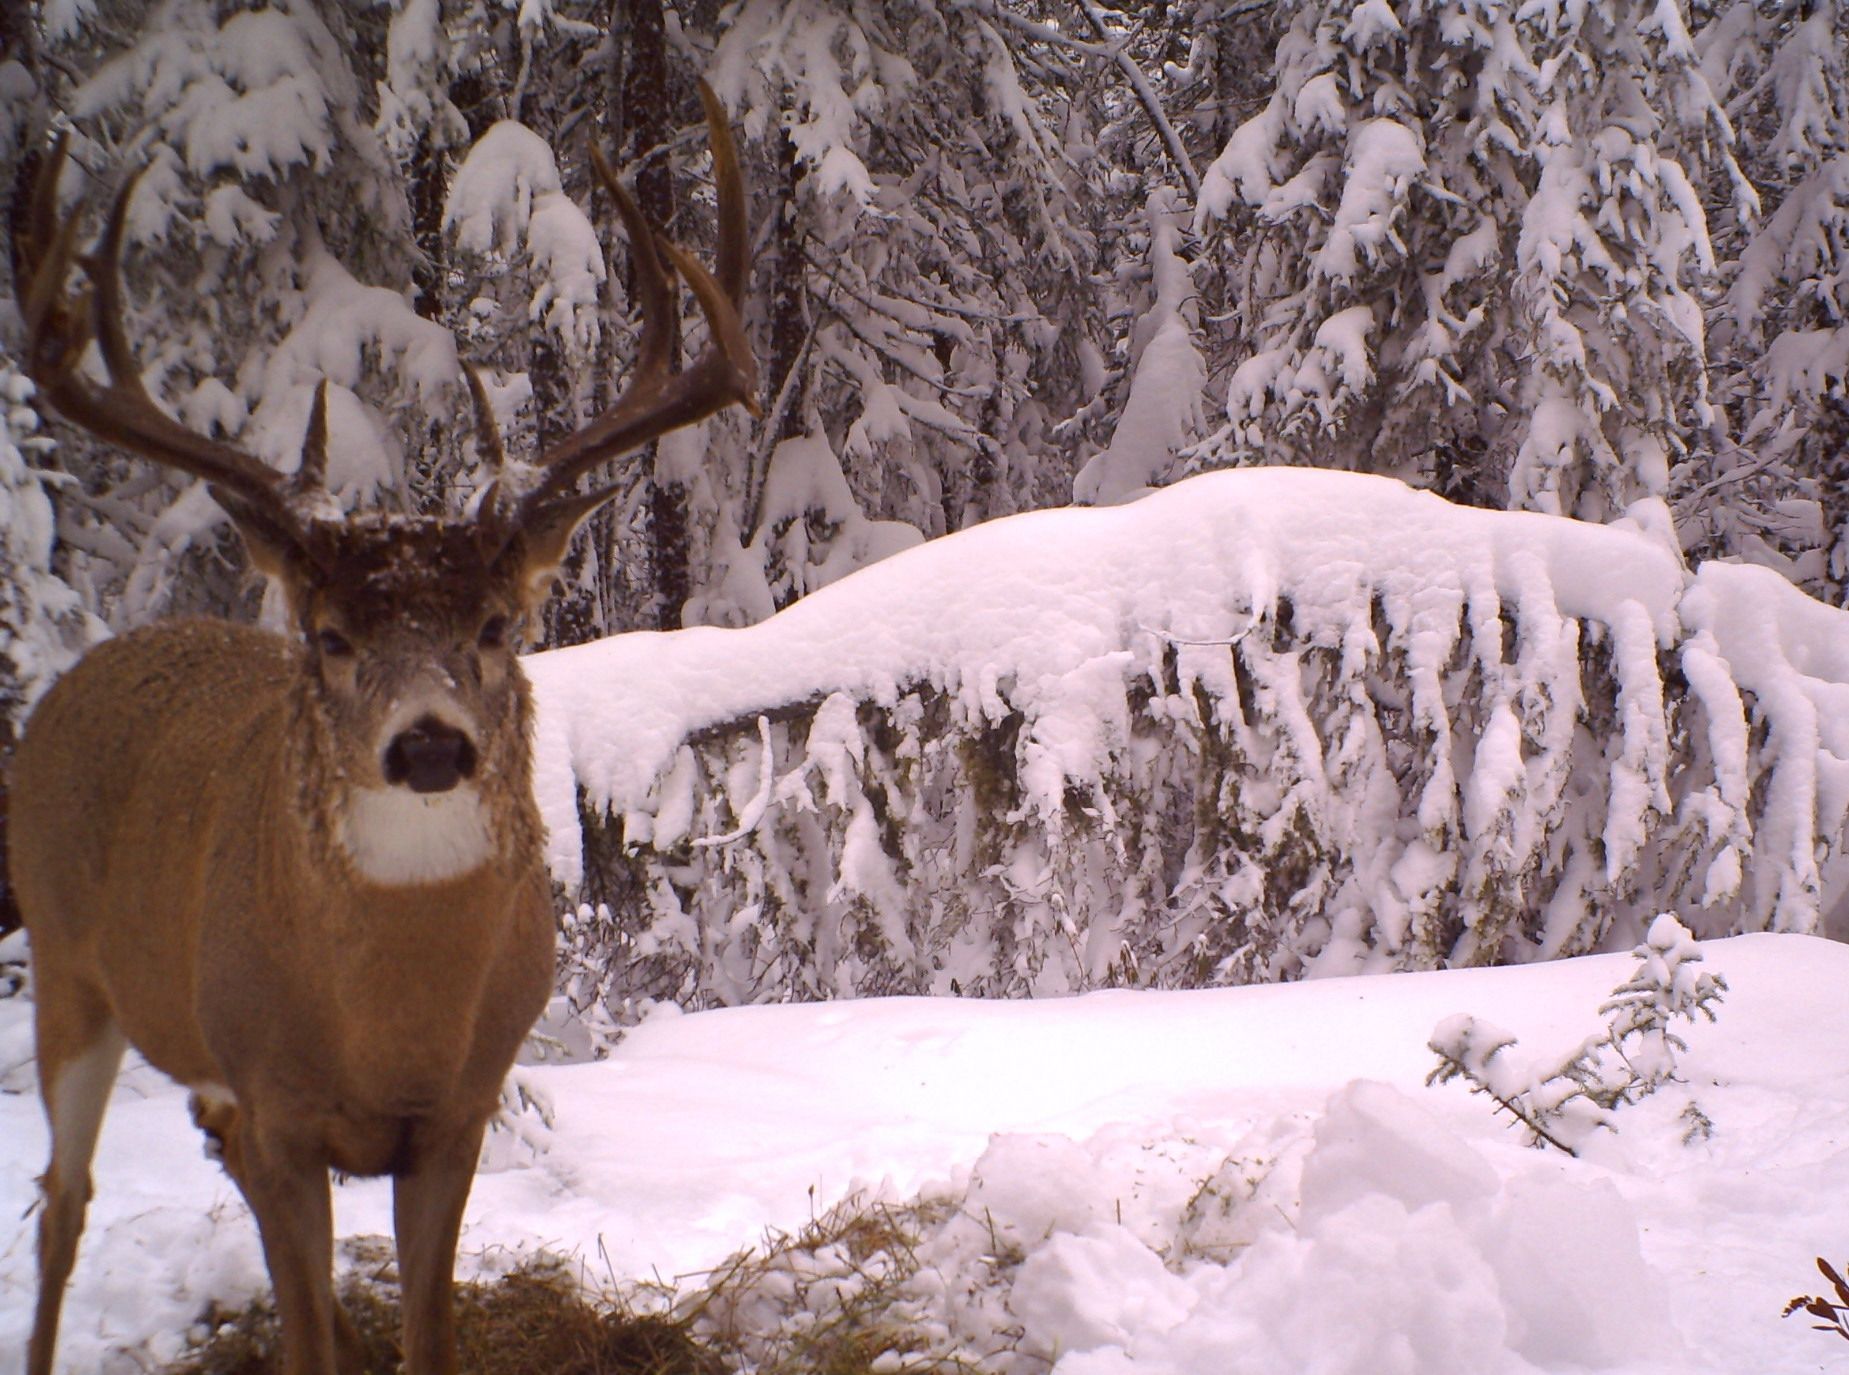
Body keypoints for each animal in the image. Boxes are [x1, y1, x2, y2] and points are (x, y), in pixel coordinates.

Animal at [11, 82, 757, 1375]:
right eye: (329, 635)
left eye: (500, 623)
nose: (430, 744)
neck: (387, 1020)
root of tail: (76, 675)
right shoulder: (280, 1106)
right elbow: (302, 1334)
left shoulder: (454, 1115)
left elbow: (430, 1334)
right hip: (68, 965)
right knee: (65, 1199)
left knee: (187, 1161)